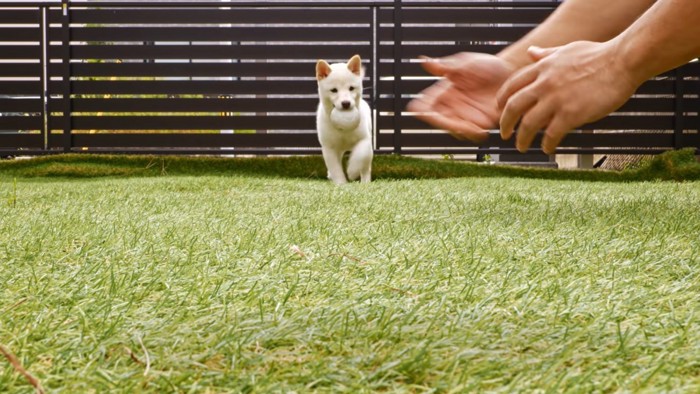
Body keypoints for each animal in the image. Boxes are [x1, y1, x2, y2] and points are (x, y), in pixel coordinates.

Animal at [316, 53, 374, 185]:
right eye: (334, 90)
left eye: (351, 88)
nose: (346, 103)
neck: (343, 131)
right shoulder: (329, 147)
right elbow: (335, 168)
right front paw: (341, 184)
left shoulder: (364, 139)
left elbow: (360, 156)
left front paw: (352, 171)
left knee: (366, 167)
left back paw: (365, 182)